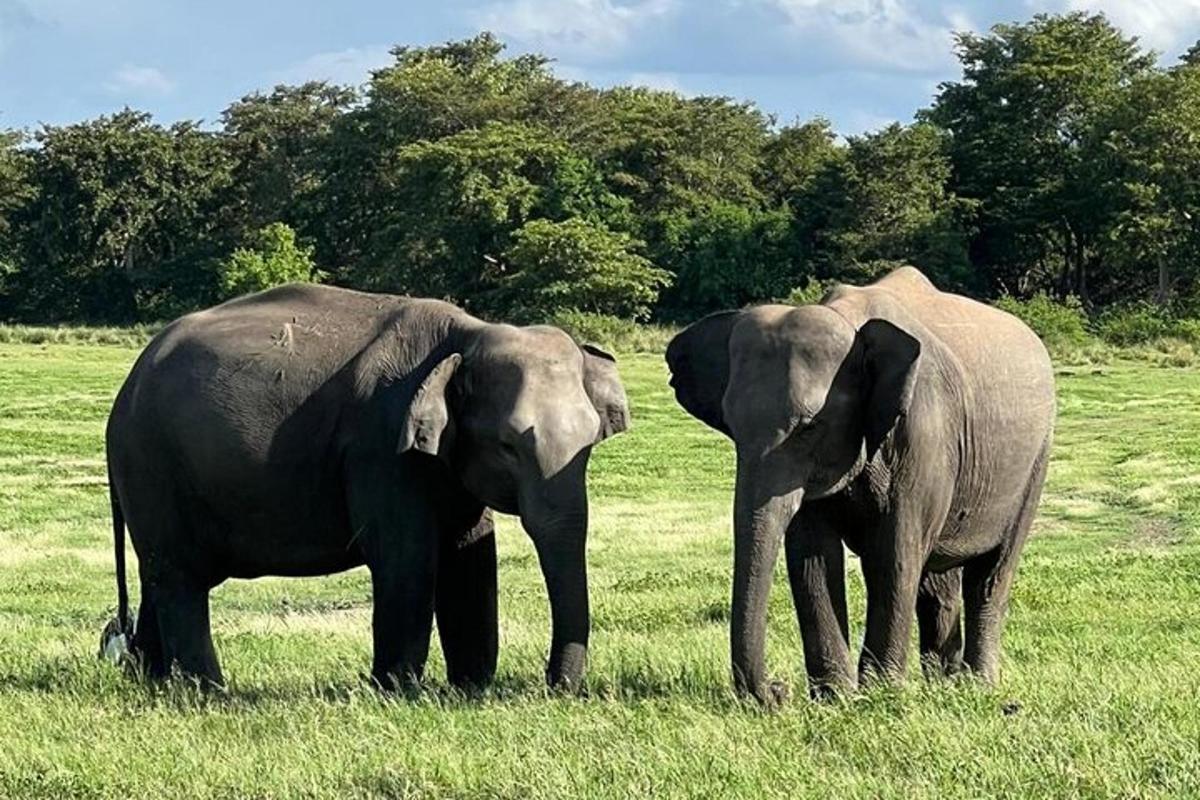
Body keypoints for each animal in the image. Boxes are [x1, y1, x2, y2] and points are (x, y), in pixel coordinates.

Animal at [103, 284, 628, 690]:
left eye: (591, 442)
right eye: (507, 446)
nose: (555, 687)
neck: (467, 334)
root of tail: (127, 386)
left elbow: (473, 553)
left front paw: (471, 689)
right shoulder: (379, 447)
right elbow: (408, 557)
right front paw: (397, 692)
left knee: (160, 576)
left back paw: (152, 683)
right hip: (151, 462)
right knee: (179, 577)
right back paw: (208, 693)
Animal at [662, 267, 1056, 700]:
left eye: (809, 427)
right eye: (732, 427)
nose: (778, 691)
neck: (848, 319)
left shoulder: (923, 434)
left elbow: (892, 556)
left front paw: (879, 693)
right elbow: (812, 557)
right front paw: (835, 697)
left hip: (1036, 459)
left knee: (989, 575)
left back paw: (976, 686)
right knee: (937, 583)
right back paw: (942, 684)